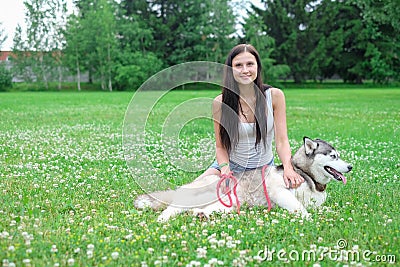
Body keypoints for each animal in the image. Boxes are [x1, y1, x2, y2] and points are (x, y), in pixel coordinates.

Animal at [135, 138, 354, 222]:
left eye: (339, 155)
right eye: (333, 156)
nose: (351, 166)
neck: (305, 174)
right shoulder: (278, 191)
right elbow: (300, 208)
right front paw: (309, 219)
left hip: (227, 205)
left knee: (204, 209)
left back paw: (201, 214)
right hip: (201, 194)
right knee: (174, 207)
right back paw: (163, 218)